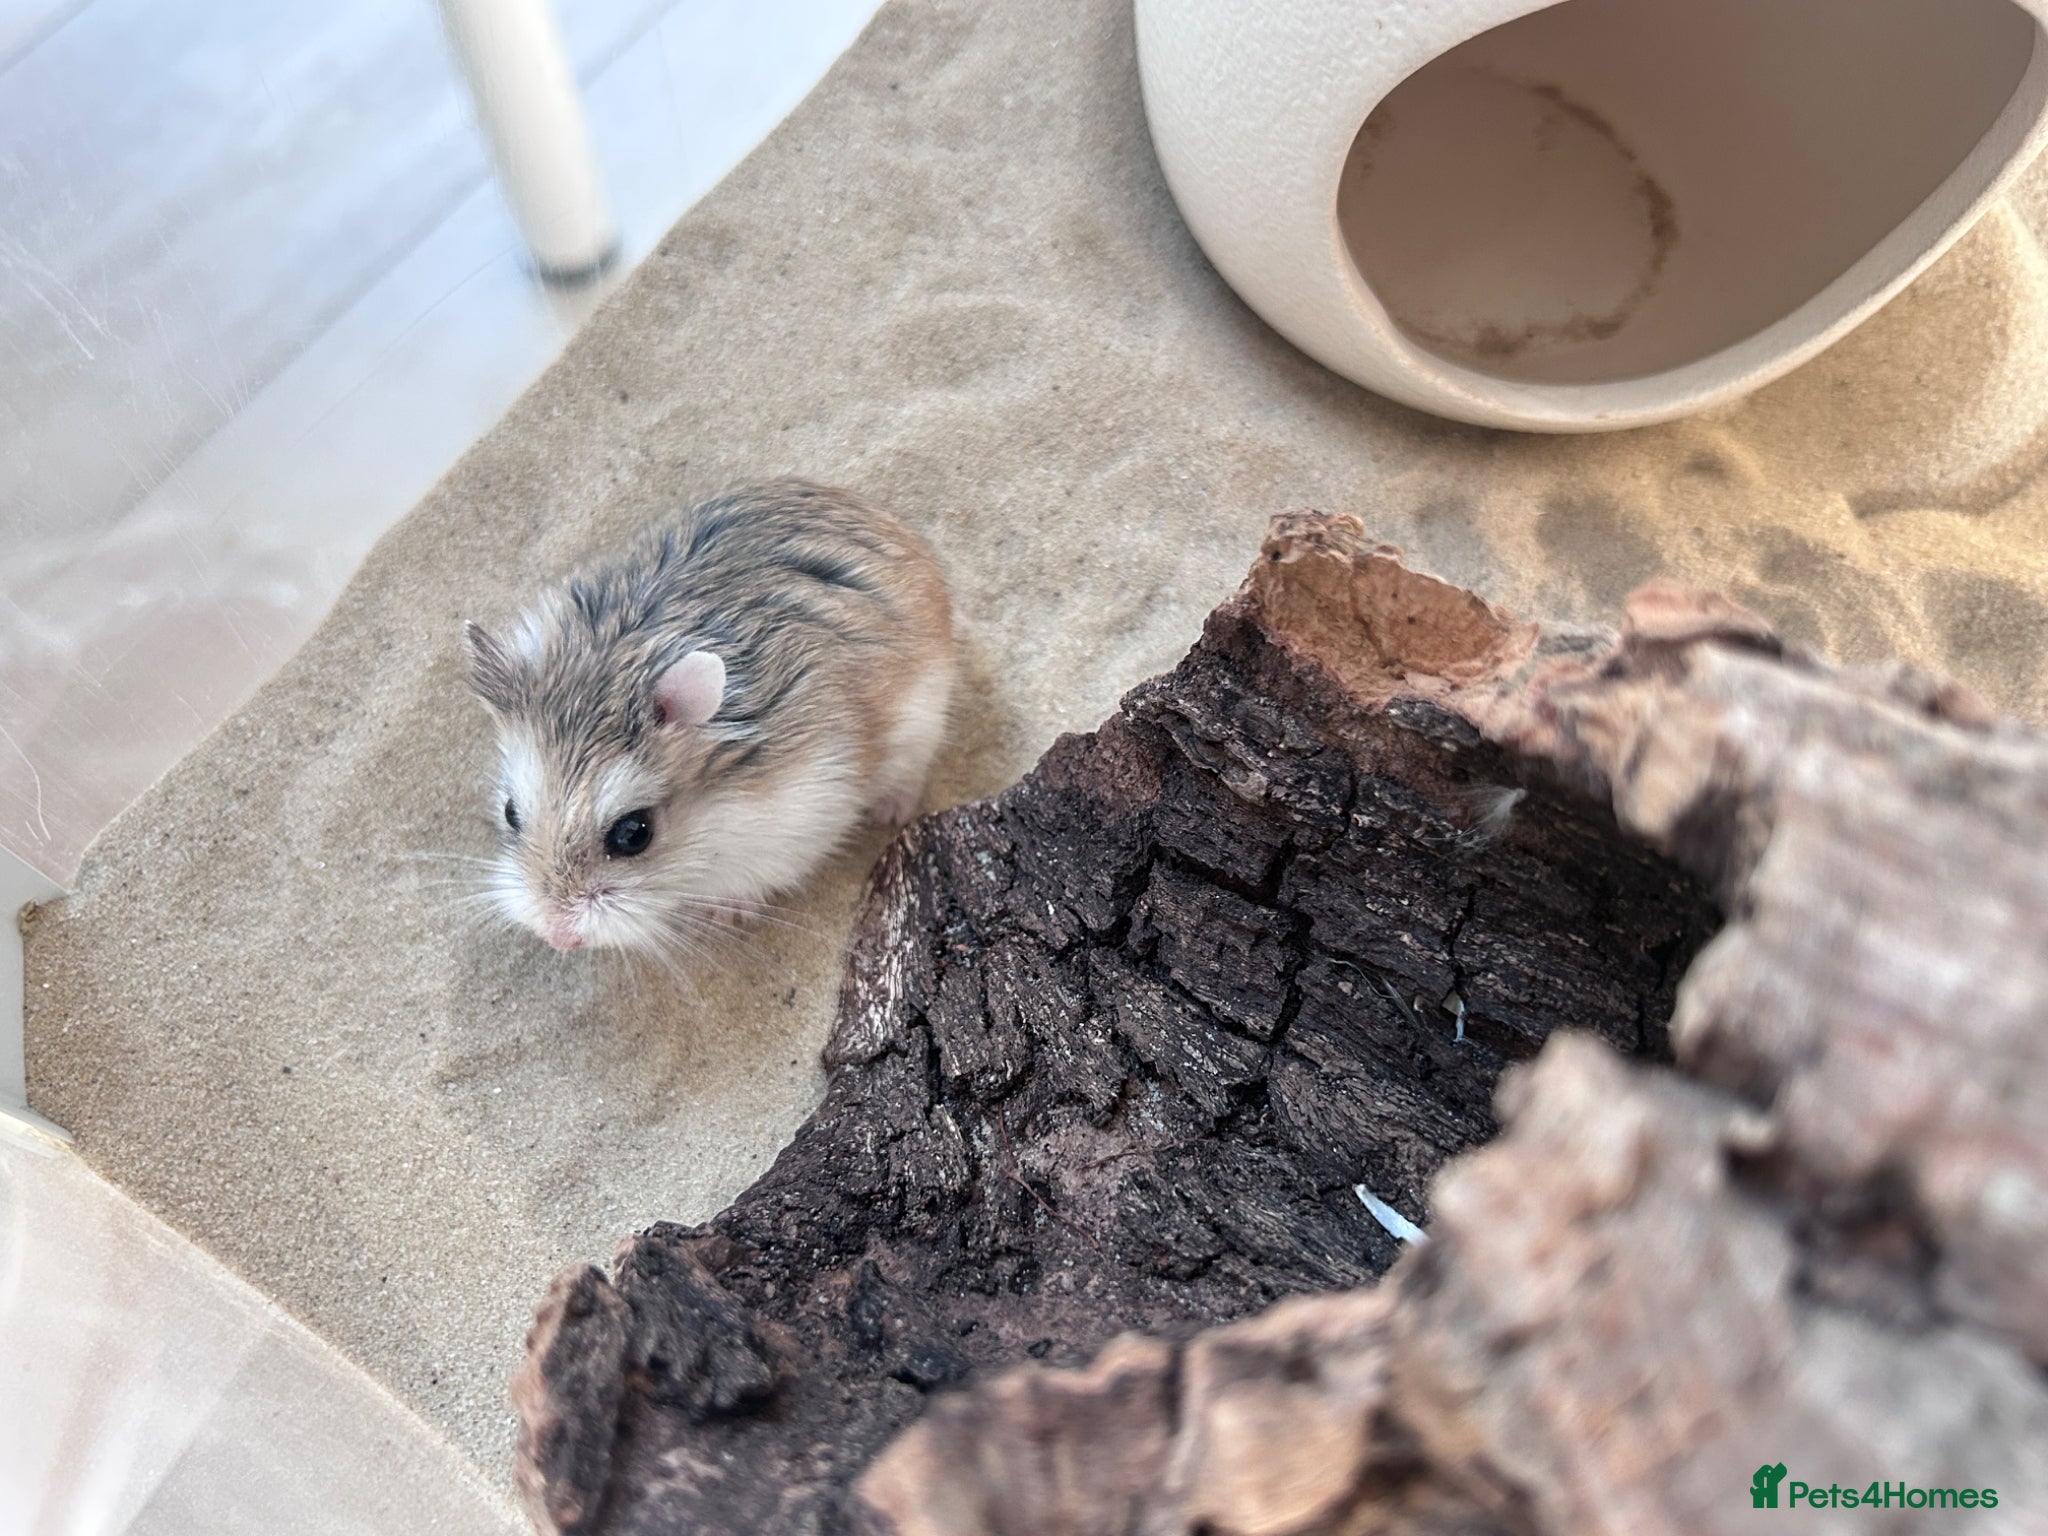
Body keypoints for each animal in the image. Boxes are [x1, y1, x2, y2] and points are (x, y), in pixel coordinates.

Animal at [461, 480, 954, 956]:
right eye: (510, 813)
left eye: (634, 833)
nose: (556, 936)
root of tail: (882, 518)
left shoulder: (805, 811)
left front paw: (721, 913)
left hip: (923, 717)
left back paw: (888, 811)